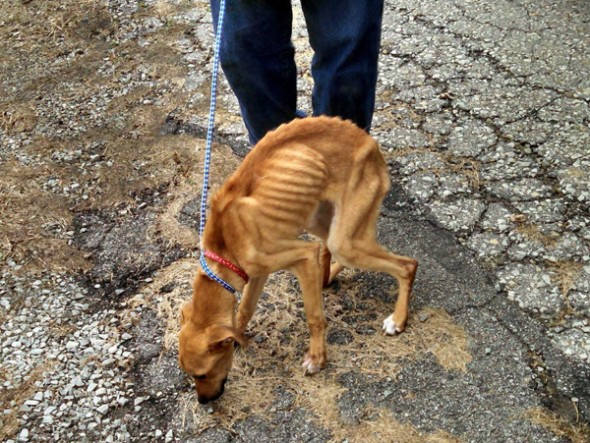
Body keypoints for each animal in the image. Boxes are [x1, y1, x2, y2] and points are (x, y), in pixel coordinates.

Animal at [178, 116, 418, 404]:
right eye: (190, 375)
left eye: (202, 374)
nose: (204, 402)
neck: (225, 246)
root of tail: (368, 141)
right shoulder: (257, 271)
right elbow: (245, 308)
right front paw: (238, 335)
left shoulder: (302, 256)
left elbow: (314, 315)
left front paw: (316, 358)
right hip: (324, 223)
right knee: (334, 251)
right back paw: (327, 277)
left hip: (345, 240)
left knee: (407, 265)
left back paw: (398, 319)